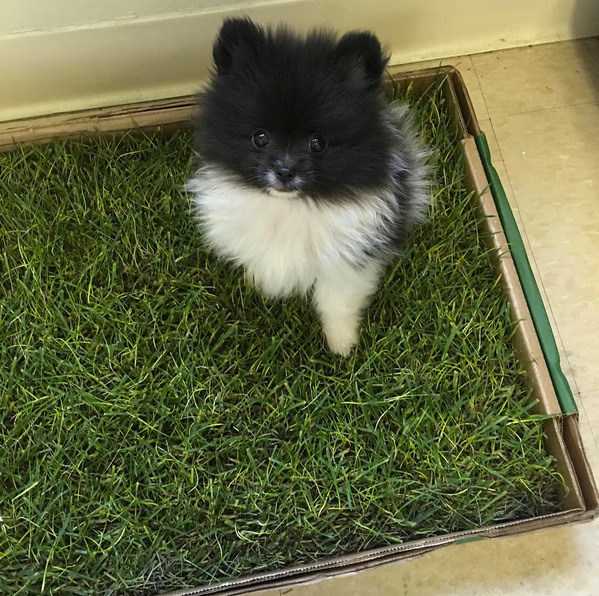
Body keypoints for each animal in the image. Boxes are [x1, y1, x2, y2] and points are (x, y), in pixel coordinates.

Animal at [185, 17, 428, 354]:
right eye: (260, 138)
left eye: (318, 143)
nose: (285, 170)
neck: (291, 207)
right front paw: (256, 280)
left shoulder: (347, 259)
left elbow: (336, 302)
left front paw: (342, 344)